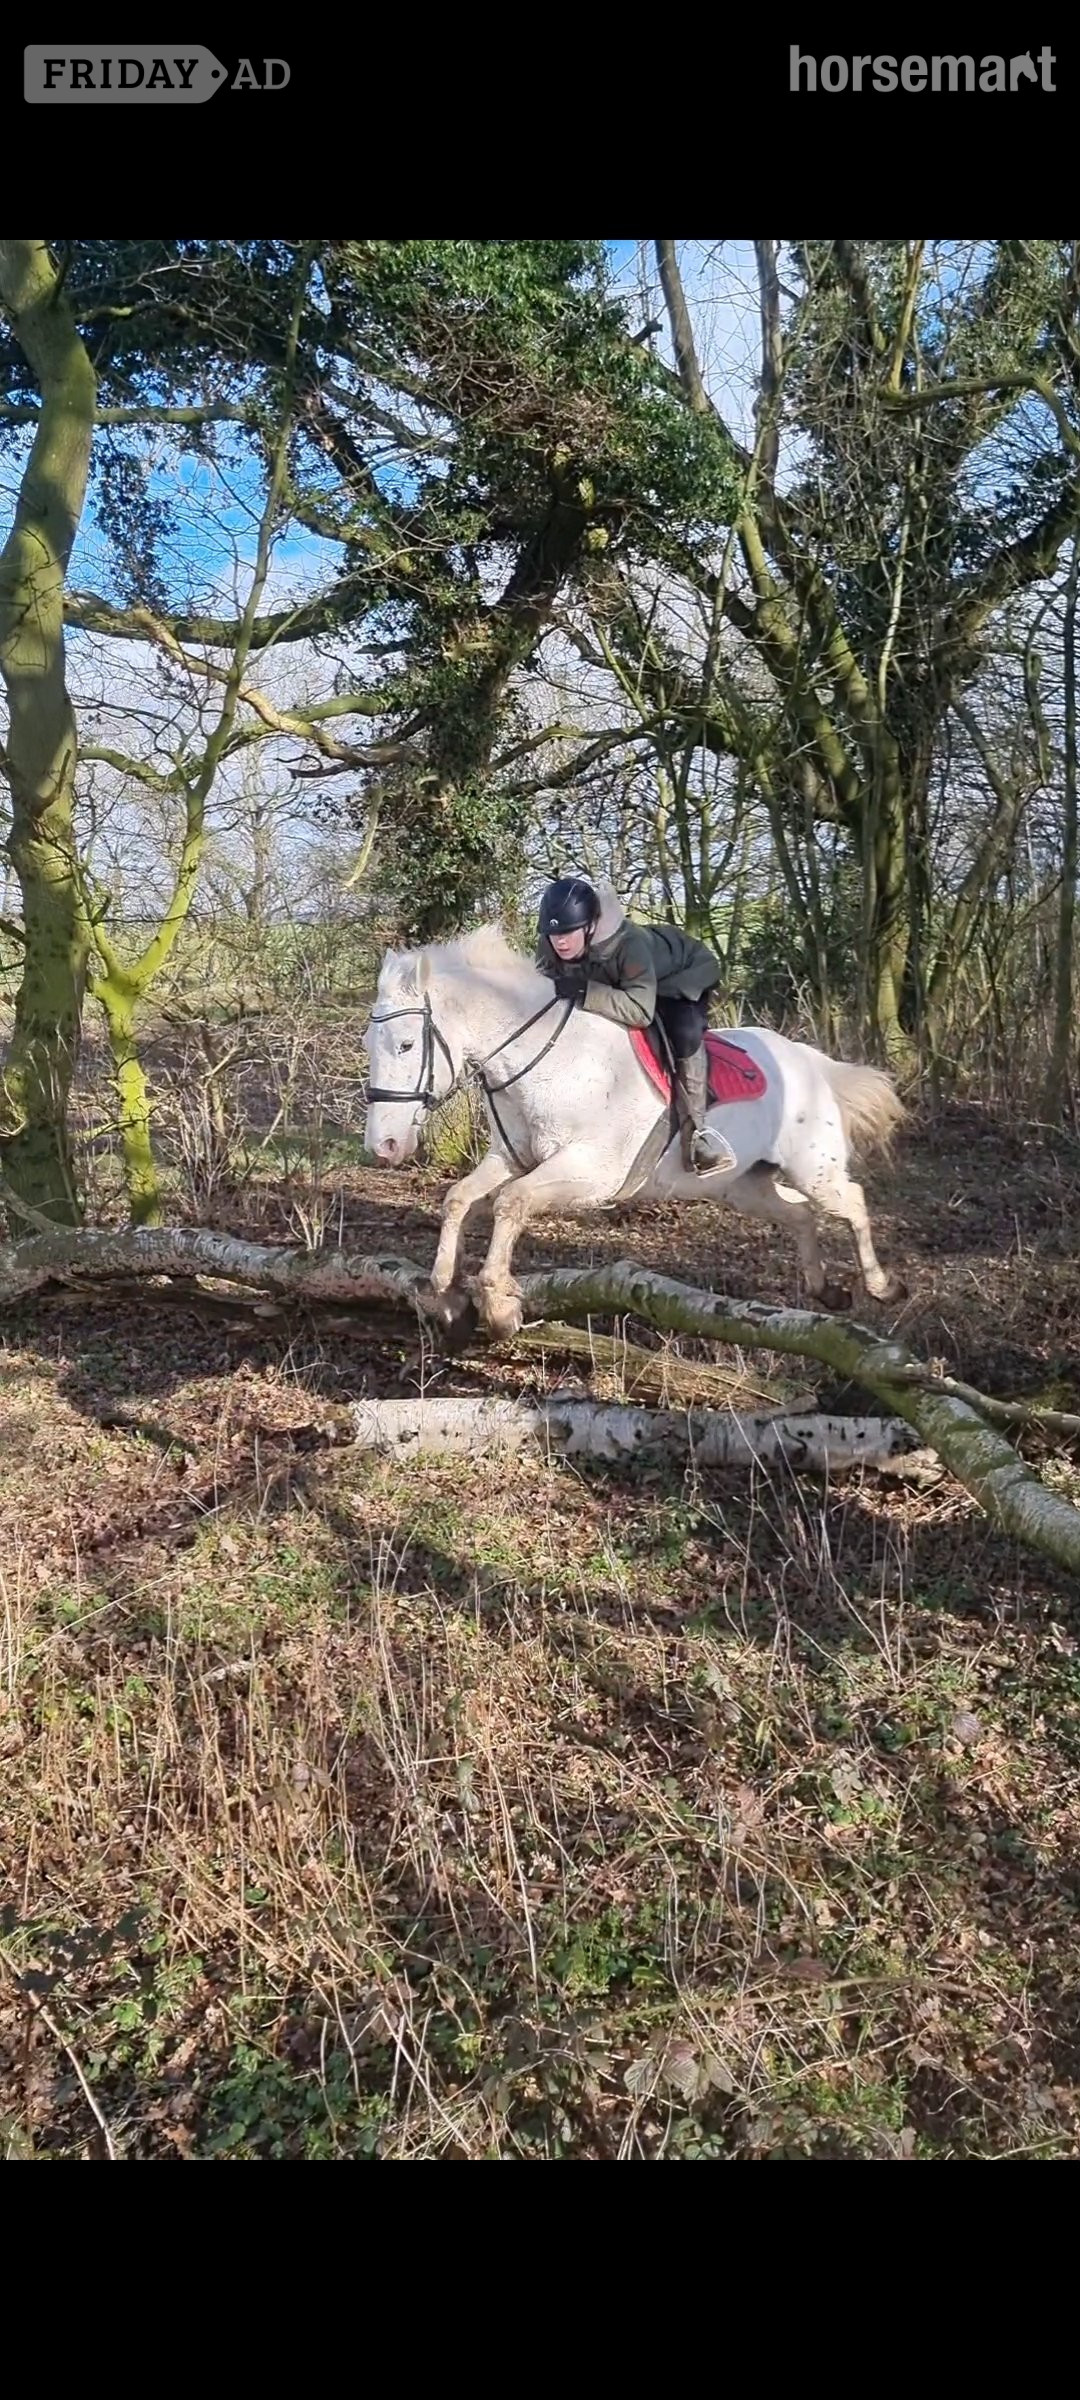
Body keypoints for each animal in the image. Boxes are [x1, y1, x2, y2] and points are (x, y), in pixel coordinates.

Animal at [362, 924, 906, 1341]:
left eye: (406, 1045)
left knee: (852, 1202)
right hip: (742, 1186)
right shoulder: (514, 1159)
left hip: (813, 1170)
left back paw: (883, 1286)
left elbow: (510, 1203)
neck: (550, 1058)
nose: (383, 1147)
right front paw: (445, 1292)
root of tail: (812, 1062)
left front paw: (499, 1306)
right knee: (799, 1216)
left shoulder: (593, 1173)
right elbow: (459, 1198)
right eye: (370, 1042)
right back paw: (825, 1290)